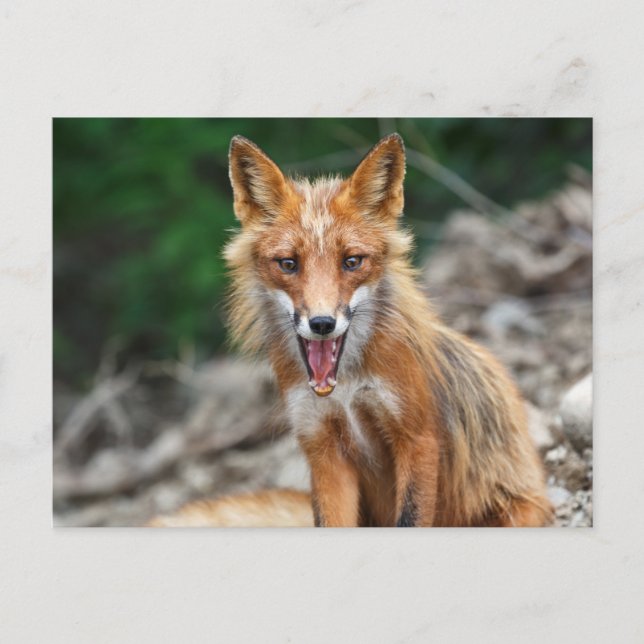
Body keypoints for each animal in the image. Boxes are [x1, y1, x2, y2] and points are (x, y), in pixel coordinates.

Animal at [150, 133, 553, 528]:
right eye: (288, 264)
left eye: (352, 262)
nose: (322, 324)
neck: (345, 389)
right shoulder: (321, 446)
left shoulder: (418, 438)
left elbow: (410, 520)